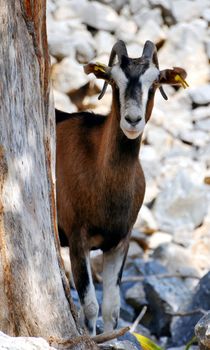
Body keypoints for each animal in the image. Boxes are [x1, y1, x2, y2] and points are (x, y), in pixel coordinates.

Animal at [55, 40, 188, 336]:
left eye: (154, 83)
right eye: (114, 82)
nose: (132, 120)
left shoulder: (119, 242)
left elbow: (111, 309)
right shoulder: (77, 239)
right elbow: (90, 307)